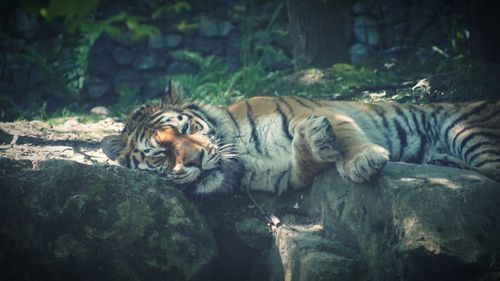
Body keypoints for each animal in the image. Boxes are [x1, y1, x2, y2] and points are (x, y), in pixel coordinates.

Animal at [101, 80, 500, 194]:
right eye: (159, 155)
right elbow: (302, 162)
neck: (241, 155)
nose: (197, 161)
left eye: (186, 129)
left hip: (467, 130)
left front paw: (362, 161)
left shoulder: (317, 111)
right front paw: (314, 145)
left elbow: (347, 135)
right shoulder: (282, 179)